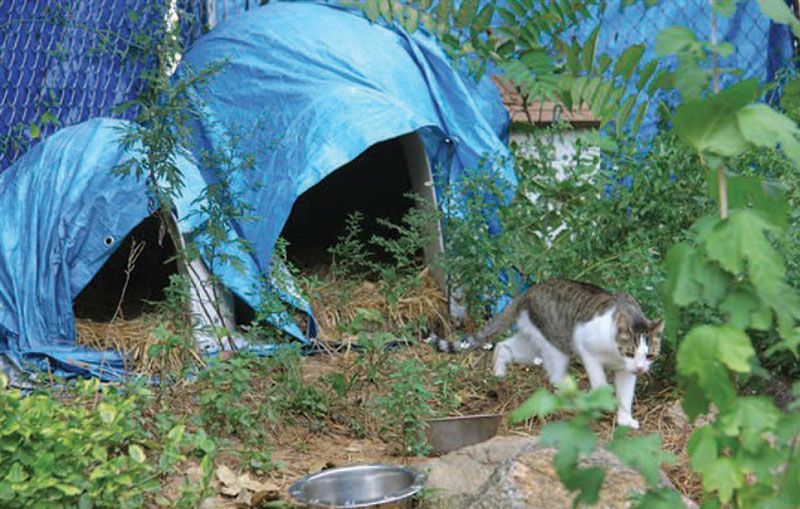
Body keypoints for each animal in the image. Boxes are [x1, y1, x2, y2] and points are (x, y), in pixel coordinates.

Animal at [434, 280, 664, 426]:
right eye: (629, 353)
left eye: (649, 356)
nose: (641, 368)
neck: (616, 355)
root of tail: (528, 291)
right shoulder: (588, 351)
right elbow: (600, 383)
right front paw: (602, 401)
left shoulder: (626, 372)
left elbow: (626, 394)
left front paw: (625, 420)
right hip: (556, 346)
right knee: (556, 377)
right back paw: (574, 400)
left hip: (533, 343)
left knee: (503, 346)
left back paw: (499, 374)